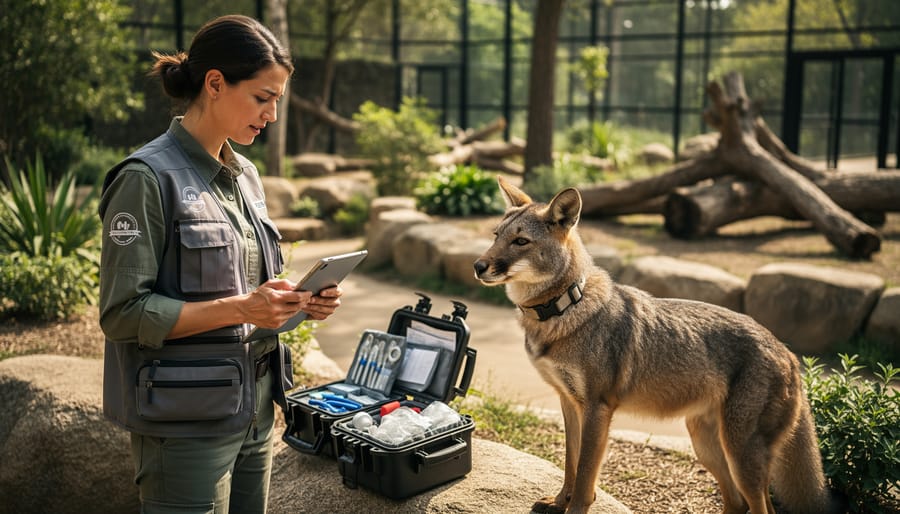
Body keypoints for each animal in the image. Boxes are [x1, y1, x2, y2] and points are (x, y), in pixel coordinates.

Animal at [473, 176, 843, 514]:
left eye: (520, 241)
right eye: (496, 236)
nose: (478, 266)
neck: (567, 307)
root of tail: (789, 353)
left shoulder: (597, 409)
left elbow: (585, 477)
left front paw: (573, 507)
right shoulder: (568, 403)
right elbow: (569, 464)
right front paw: (558, 502)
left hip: (739, 455)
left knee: (760, 508)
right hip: (707, 446)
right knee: (737, 506)